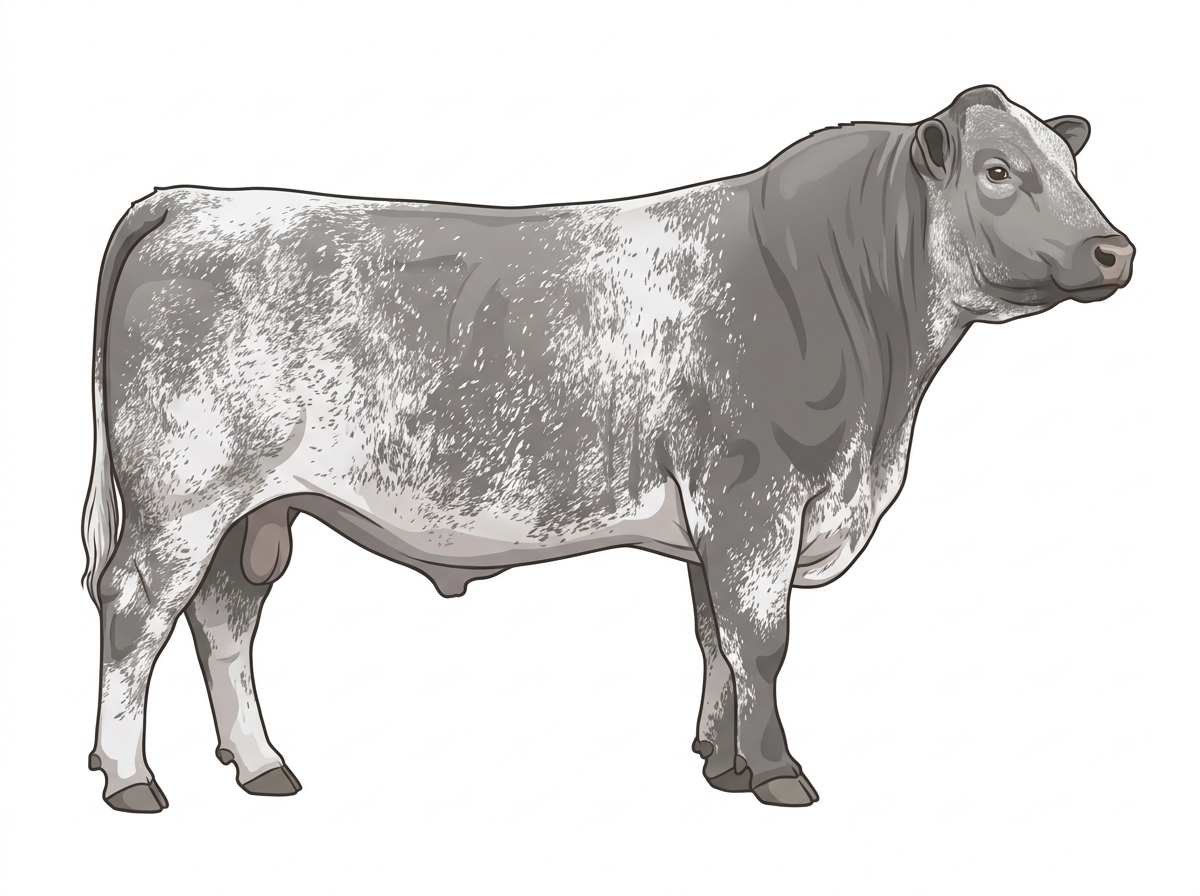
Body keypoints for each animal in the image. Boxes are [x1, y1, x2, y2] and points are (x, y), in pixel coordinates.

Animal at [82, 85, 1133, 812]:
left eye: (1070, 164)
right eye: (996, 170)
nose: (1114, 249)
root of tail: (194, 198)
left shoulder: (718, 519)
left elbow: (715, 639)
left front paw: (722, 762)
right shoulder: (755, 500)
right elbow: (763, 641)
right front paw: (779, 773)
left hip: (254, 509)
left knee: (224, 619)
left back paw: (263, 766)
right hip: (182, 499)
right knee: (136, 612)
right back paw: (131, 779)